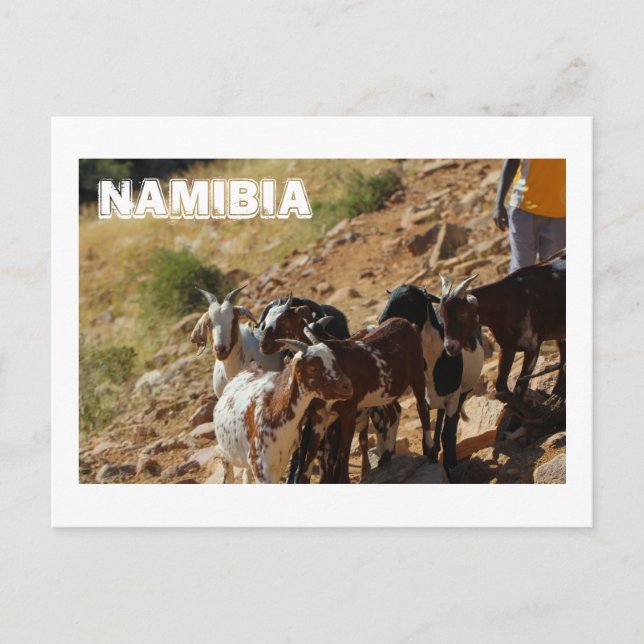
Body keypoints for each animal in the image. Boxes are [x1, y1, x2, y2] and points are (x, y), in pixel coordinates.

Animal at [213, 339, 353, 483]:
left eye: (335, 360)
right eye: (313, 367)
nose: (347, 386)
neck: (275, 410)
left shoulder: (280, 463)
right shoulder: (260, 466)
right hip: (226, 453)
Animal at [379, 284, 484, 471]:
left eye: (411, 299)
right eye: (389, 297)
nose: (382, 321)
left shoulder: (453, 397)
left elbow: (448, 435)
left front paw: (450, 468)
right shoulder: (424, 398)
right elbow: (426, 437)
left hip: (463, 392)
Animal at [438, 249, 566, 401]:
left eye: (462, 313)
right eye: (442, 314)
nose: (449, 347)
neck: (509, 301)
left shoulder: (533, 347)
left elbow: (519, 389)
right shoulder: (507, 347)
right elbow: (501, 388)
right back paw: (556, 396)